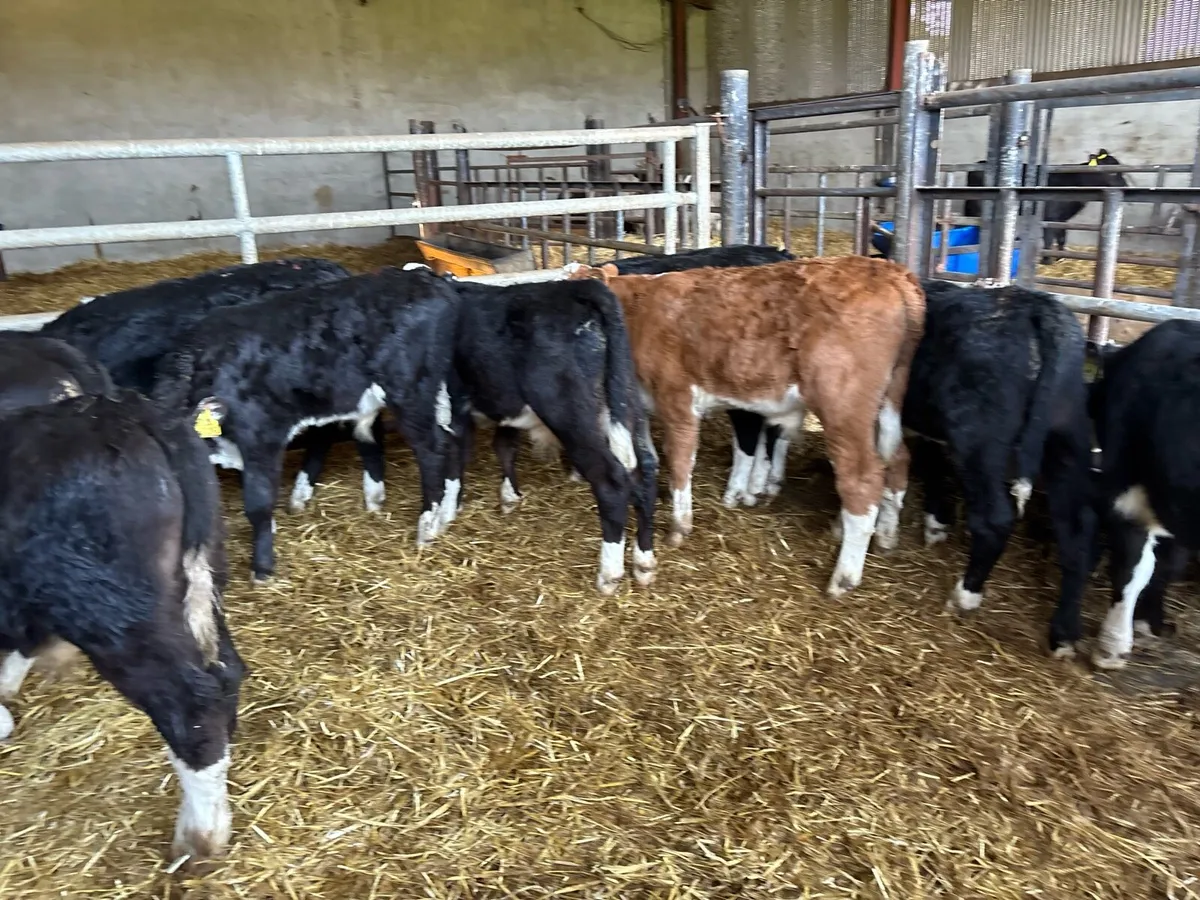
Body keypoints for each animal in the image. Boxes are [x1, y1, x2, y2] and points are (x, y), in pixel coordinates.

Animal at [0, 388, 246, 863]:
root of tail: (120, 411)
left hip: (111, 611)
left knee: (191, 702)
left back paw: (198, 840)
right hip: (200, 584)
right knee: (225, 673)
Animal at [153, 266, 462, 581]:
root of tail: (425, 278)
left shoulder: (261, 437)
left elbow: (258, 502)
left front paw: (262, 568)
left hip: (411, 392)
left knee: (432, 449)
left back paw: (427, 526)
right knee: (441, 437)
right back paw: (426, 511)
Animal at [445, 276, 658, 595]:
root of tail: (575, 288)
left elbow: (457, 453)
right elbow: (503, 446)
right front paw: (509, 496)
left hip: (568, 412)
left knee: (612, 481)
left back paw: (609, 574)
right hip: (625, 402)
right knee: (646, 469)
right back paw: (644, 562)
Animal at [570, 256, 925, 597]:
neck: (639, 311)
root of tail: (889, 271)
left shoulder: (677, 399)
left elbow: (680, 461)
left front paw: (680, 526)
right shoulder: (641, 406)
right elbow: (650, 459)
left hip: (843, 408)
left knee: (861, 479)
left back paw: (844, 577)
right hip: (885, 406)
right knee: (897, 460)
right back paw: (884, 536)